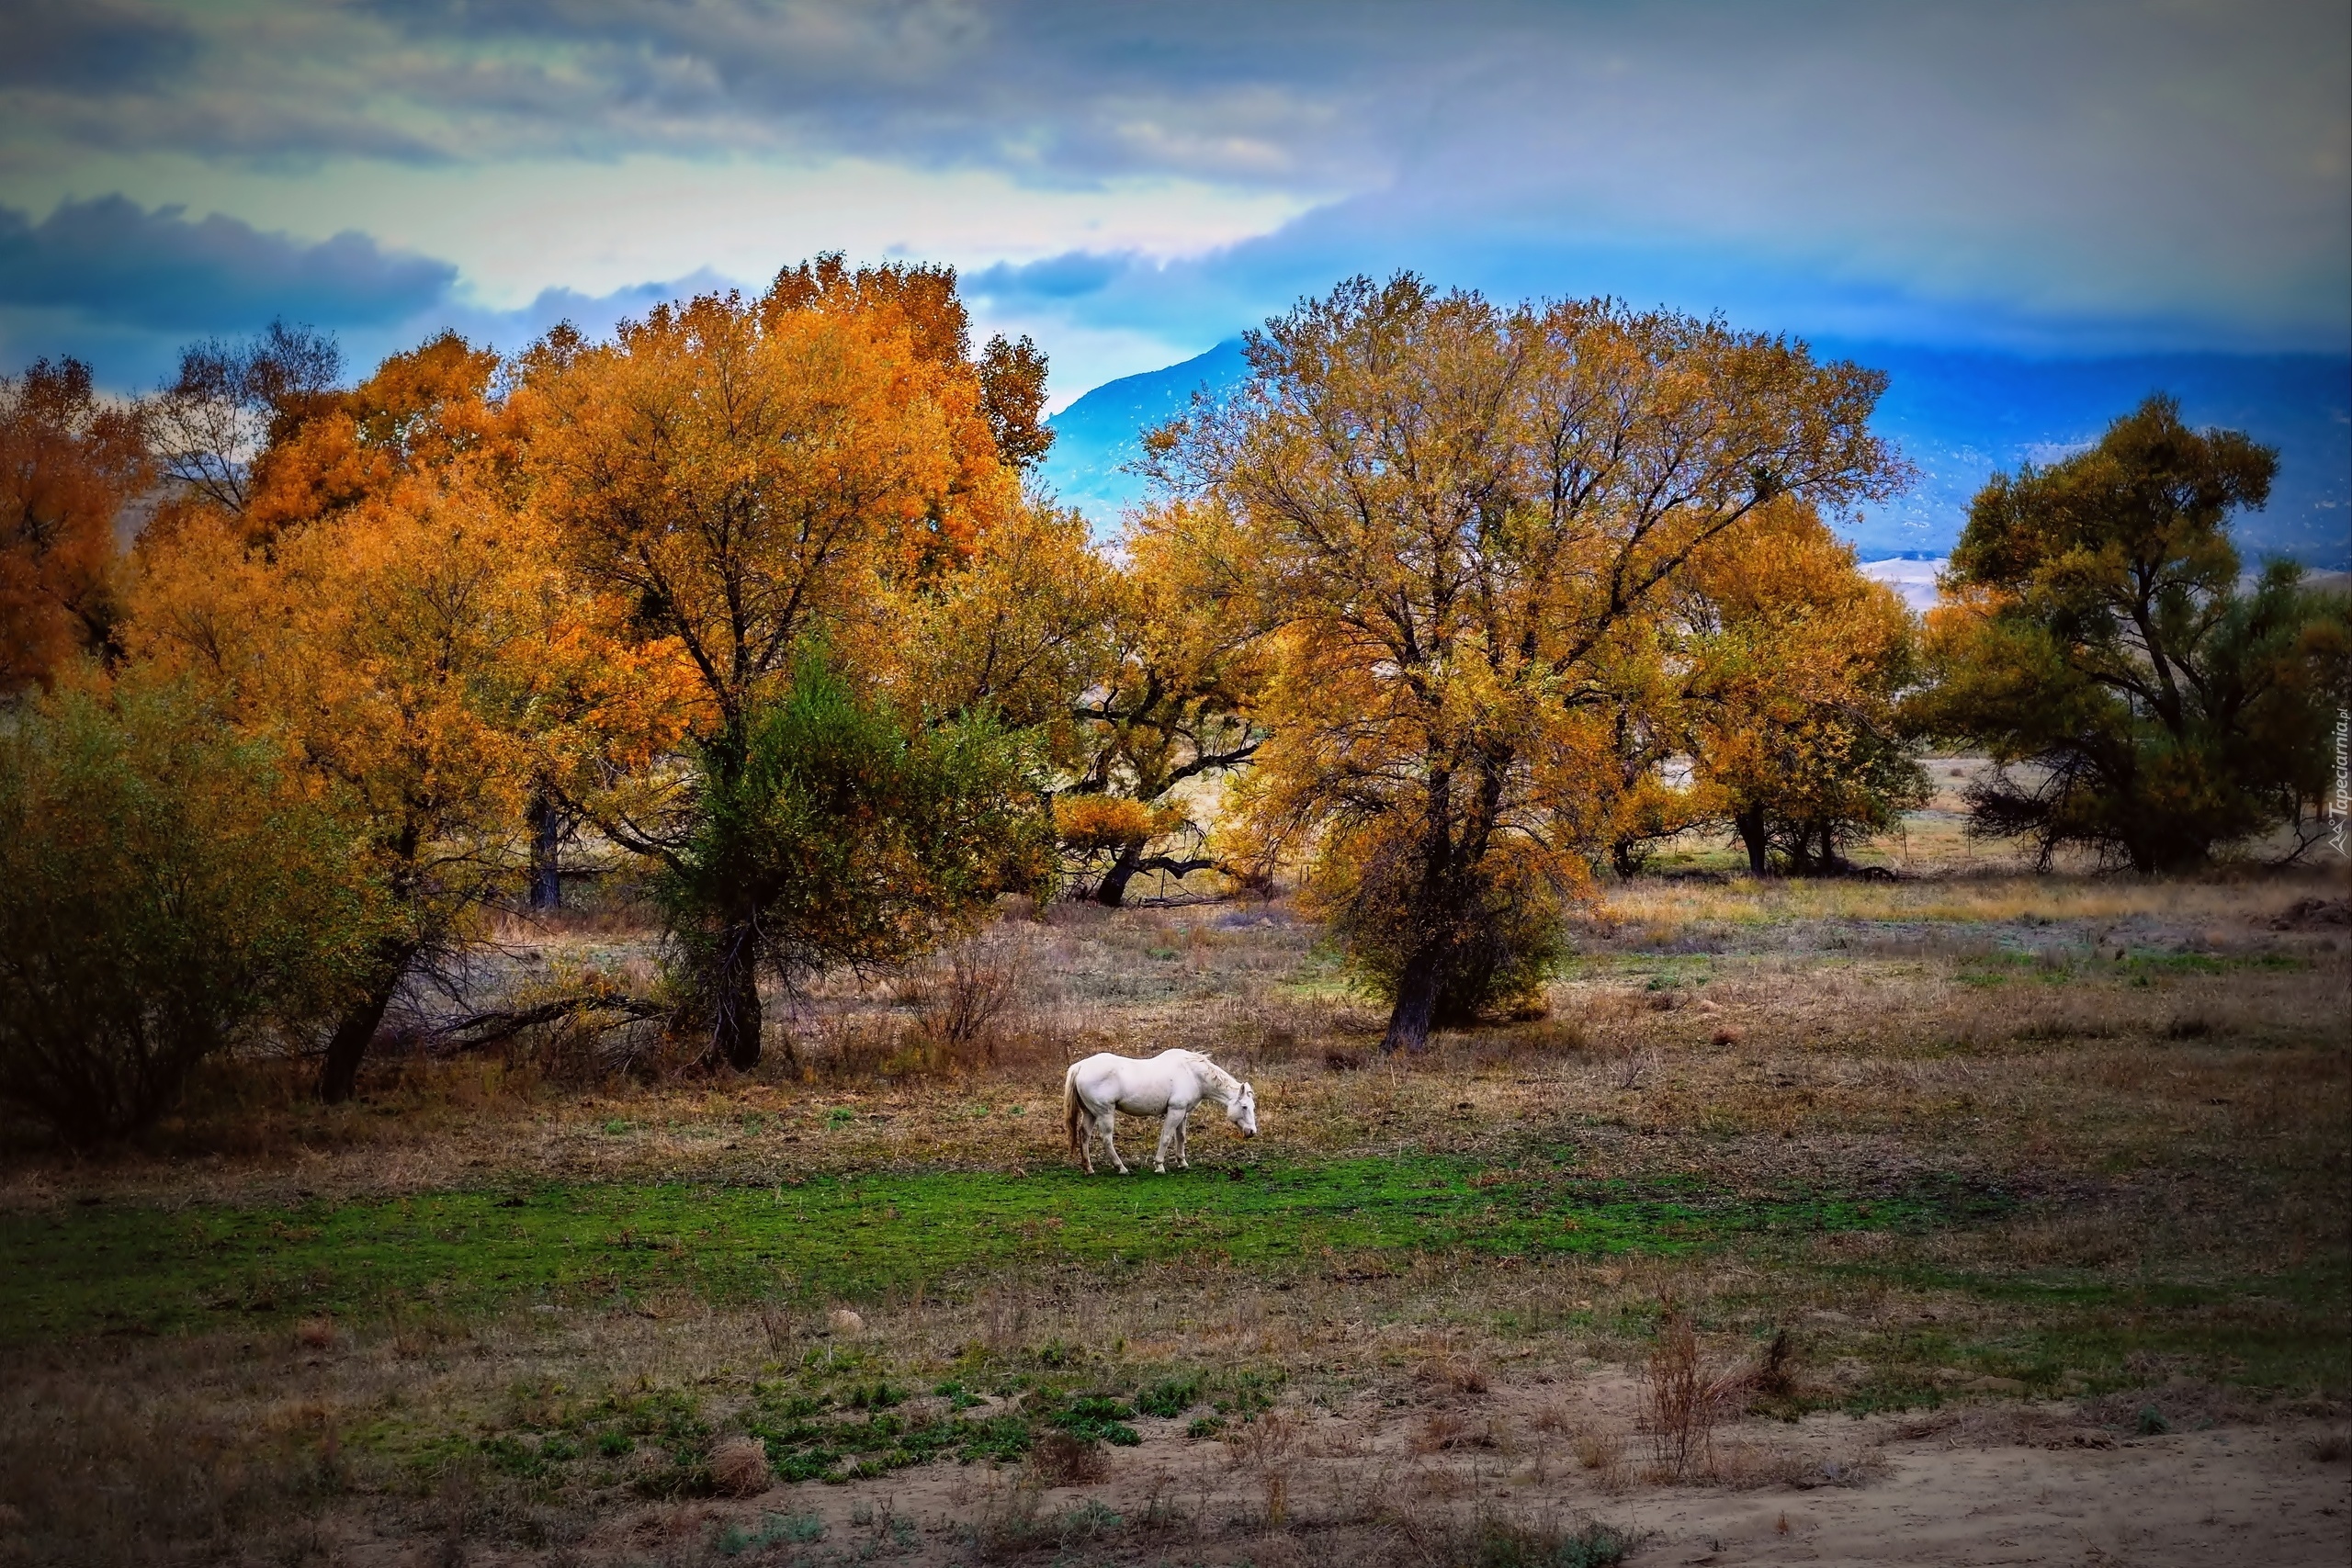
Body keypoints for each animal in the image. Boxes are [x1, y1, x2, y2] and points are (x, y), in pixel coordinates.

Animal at [1063, 1048, 1261, 1170]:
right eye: (1244, 1107)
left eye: (1252, 1107)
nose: (1252, 1131)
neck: (1192, 1073)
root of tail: (1080, 1066)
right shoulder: (1175, 1111)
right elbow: (1166, 1137)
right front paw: (1159, 1165)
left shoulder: (1184, 1113)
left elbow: (1181, 1137)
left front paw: (1182, 1163)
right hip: (1105, 1113)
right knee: (1107, 1140)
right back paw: (1121, 1168)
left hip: (1090, 1113)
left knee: (1084, 1135)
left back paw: (1088, 1168)